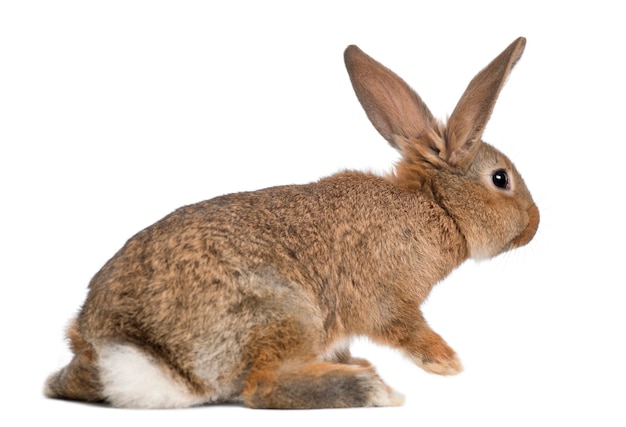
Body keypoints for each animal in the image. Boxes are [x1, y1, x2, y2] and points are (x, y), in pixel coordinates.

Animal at [46, 37, 540, 412]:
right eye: (500, 179)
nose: (535, 225)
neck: (436, 207)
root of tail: (124, 348)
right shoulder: (386, 298)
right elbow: (408, 329)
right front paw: (448, 363)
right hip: (285, 312)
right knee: (261, 386)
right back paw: (372, 389)